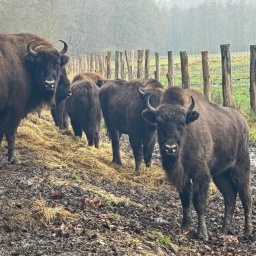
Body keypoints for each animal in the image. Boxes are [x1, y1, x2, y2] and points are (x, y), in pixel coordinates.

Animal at [0, 33, 69, 163]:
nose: (49, 84)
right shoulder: (15, 109)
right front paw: (13, 159)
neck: (26, 64)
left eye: (57, 64)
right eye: (39, 63)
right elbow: (11, 132)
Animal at [143, 87, 253, 241]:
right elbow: (185, 198)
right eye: (159, 122)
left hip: (241, 168)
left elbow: (199, 201)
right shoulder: (183, 177)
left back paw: (247, 231)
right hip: (220, 175)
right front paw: (185, 225)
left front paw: (202, 234)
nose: (170, 148)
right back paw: (223, 230)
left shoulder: (200, 175)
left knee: (246, 197)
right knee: (230, 196)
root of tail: (243, 122)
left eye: (182, 123)